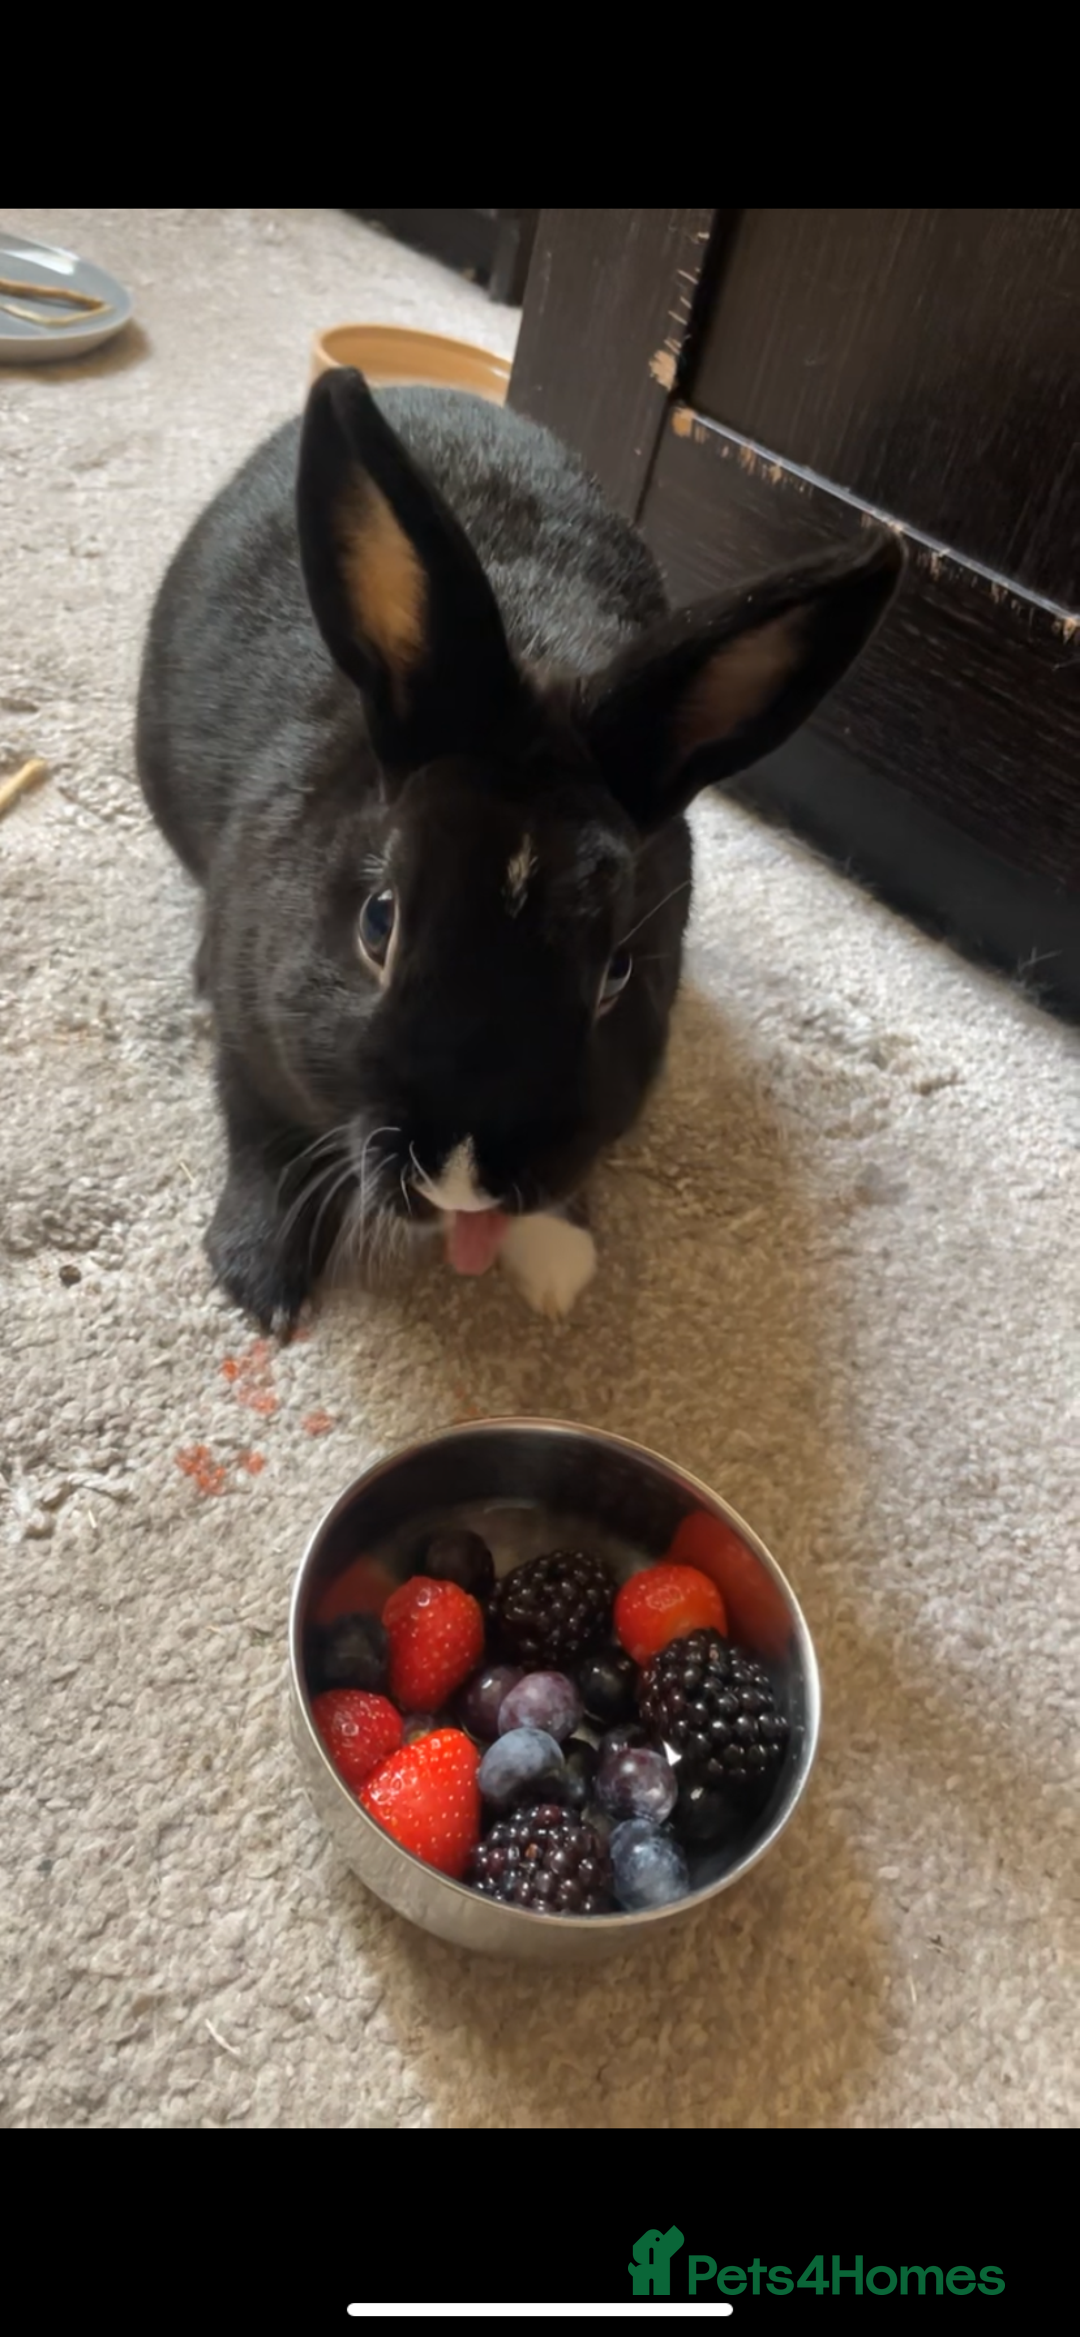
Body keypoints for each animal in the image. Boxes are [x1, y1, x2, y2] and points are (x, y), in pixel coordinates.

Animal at [135, 366, 902, 1330]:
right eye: (378, 924)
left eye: (617, 972)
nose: (464, 1176)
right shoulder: (252, 1032)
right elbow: (263, 1133)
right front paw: (260, 1282)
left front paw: (558, 1264)